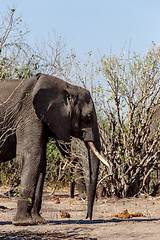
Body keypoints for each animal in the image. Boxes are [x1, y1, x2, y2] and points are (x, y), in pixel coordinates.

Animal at [0, 73, 108, 225]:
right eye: (88, 117)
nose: (88, 217)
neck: (66, 86)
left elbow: (41, 163)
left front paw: (39, 221)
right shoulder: (29, 115)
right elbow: (31, 157)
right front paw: (24, 223)